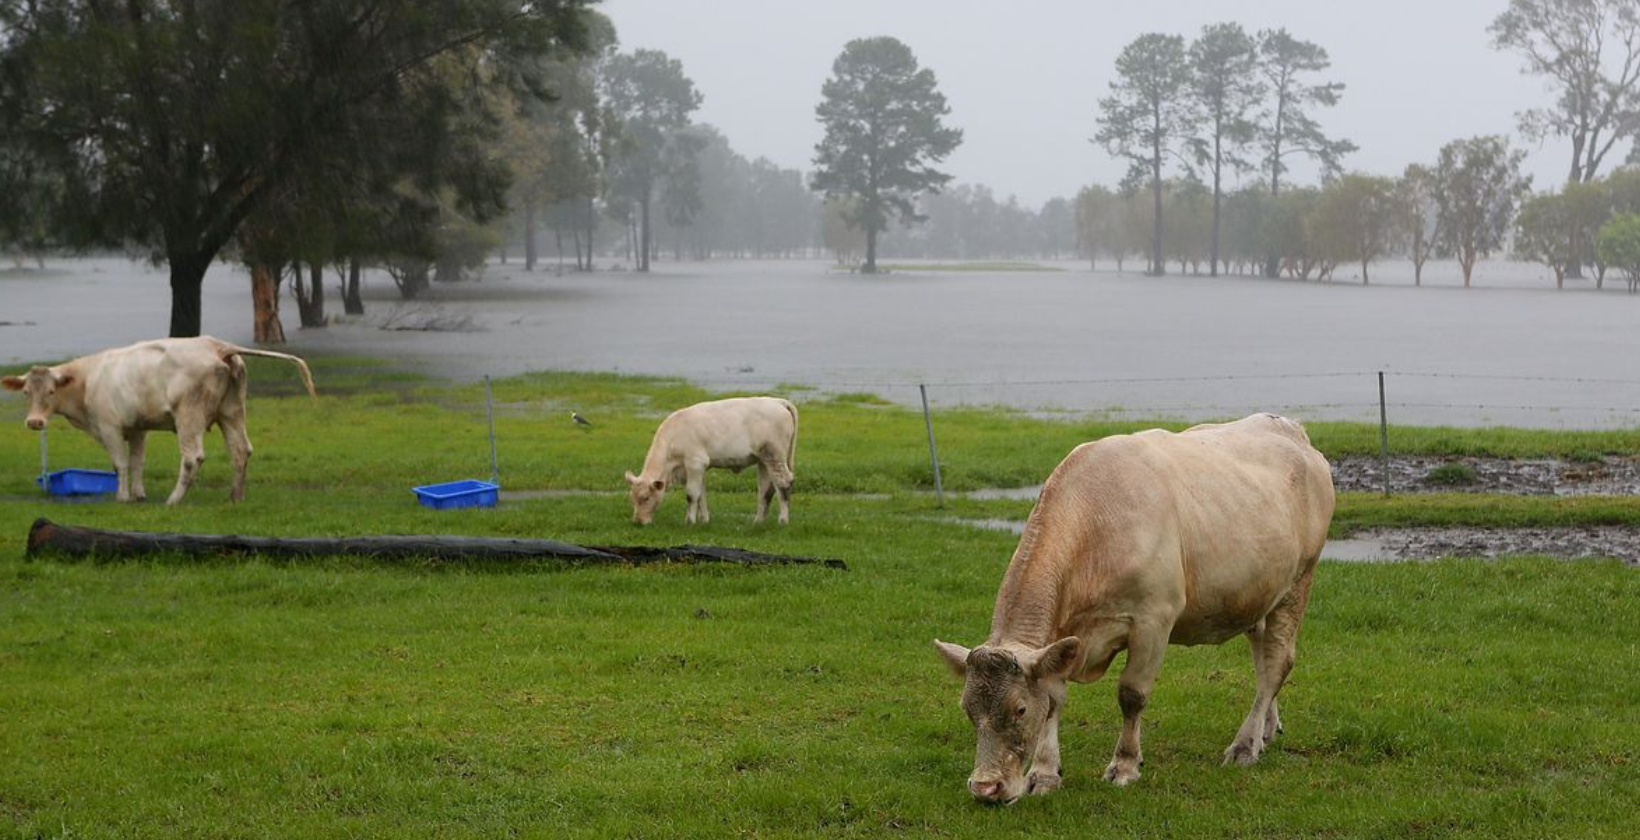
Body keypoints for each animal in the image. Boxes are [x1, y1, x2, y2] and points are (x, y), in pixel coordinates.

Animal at [4, 334, 316, 505]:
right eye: (26, 392)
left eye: (51, 391)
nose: (35, 423)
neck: (88, 379)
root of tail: (215, 345)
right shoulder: (138, 427)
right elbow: (137, 461)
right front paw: (138, 494)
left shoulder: (109, 426)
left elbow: (120, 463)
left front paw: (122, 497)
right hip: (232, 411)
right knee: (241, 450)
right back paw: (235, 497)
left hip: (188, 415)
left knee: (192, 457)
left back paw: (173, 500)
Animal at [623, 395, 797, 525]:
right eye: (632, 498)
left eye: (645, 498)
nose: (638, 522)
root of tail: (778, 401)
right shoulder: (689, 470)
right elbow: (701, 494)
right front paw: (704, 520)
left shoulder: (695, 463)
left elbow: (692, 494)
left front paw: (690, 521)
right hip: (764, 460)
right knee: (765, 489)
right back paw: (758, 521)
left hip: (774, 455)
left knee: (783, 483)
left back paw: (783, 521)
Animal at [938, 416, 1331, 803]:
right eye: (967, 708)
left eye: (1019, 709)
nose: (985, 788)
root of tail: (1291, 429)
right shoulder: (1063, 636)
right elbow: (1054, 698)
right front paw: (1045, 772)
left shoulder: (1153, 620)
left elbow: (1132, 695)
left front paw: (1125, 765)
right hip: (1260, 592)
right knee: (1263, 655)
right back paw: (1266, 729)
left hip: (1299, 581)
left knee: (1276, 662)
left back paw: (1245, 746)